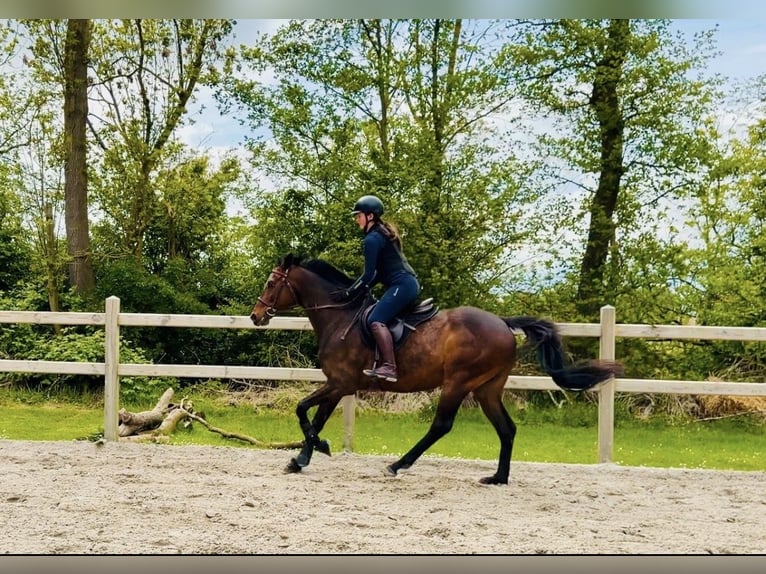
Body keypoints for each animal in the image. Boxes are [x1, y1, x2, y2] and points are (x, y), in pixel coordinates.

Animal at [250, 253, 622, 485]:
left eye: (271, 283)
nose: (256, 316)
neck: (340, 316)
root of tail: (502, 323)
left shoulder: (341, 383)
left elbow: (303, 411)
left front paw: (316, 450)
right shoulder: (338, 384)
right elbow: (315, 417)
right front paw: (301, 459)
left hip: (458, 382)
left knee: (441, 425)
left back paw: (397, 465)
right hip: (487, 388)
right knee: (507, 429)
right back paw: (498, 478)